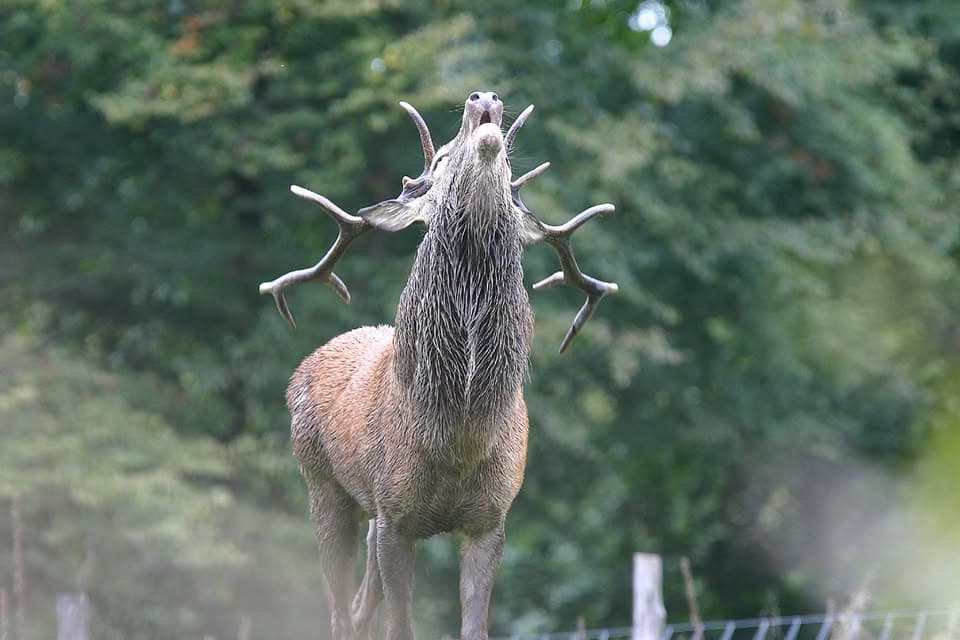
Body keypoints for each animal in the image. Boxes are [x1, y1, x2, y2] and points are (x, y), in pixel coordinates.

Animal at [258, 91, 619, 640]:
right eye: (442, 160)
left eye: (510, 168)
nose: (483, 96)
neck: (458, 436)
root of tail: (305, 364)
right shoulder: (395, 515)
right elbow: (401, 627)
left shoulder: (491, 519)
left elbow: (474, 628)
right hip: (322, 484)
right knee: (340, 611)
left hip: (367, 514)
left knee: (360, 608)